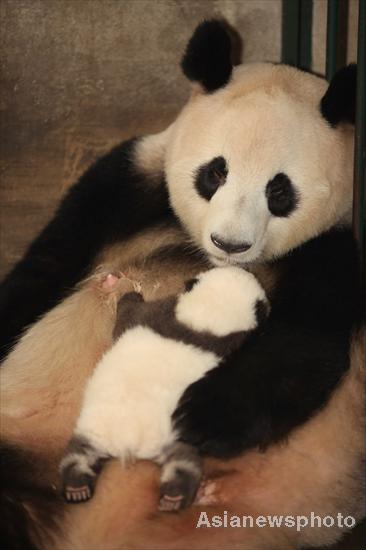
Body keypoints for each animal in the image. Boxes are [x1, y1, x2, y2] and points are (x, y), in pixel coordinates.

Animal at [0, 19, 364, 548]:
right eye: (215, 172)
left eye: (279, 191)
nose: (230, 243)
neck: (200, 254)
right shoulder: (127, 185)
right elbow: (45, 267)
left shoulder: (330, 251)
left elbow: (303, 348)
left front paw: (201, 415)